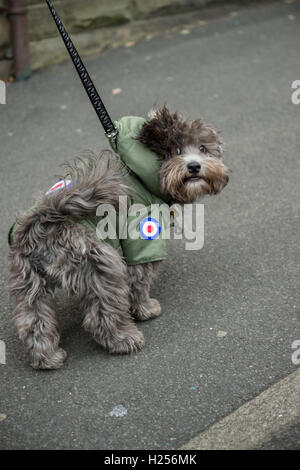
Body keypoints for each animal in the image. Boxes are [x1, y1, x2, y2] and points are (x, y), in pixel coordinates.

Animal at [8, 106, 230, 368]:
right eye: (175, 150)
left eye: (203, 148)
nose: (195, 166)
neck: (142, 172)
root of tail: (45, 219)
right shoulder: (141, 234)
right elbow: (139, 281)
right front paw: (146, 309)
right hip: (99, 266)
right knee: (102, 313)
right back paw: (124, 340)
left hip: (29, 281)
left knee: (33, 320)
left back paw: (47, 358)